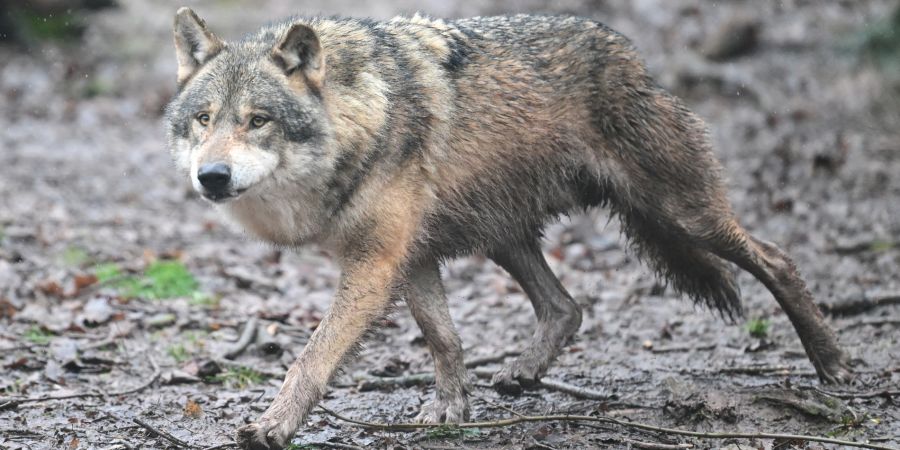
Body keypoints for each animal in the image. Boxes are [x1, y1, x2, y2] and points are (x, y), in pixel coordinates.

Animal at [165, 7, 853, 449]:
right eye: (204, 119)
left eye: (258, 120)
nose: (212, 176)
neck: (360, 117)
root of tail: (632, 55)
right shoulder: (410, 256)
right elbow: (444, 339)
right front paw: (450, 409)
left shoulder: (376, 263)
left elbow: (312, 357)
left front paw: (273, 426)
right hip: (504, 235)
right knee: (567, 306)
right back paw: (523, 372)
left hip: (681, 214)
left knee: (776, 257)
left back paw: (833, 365)